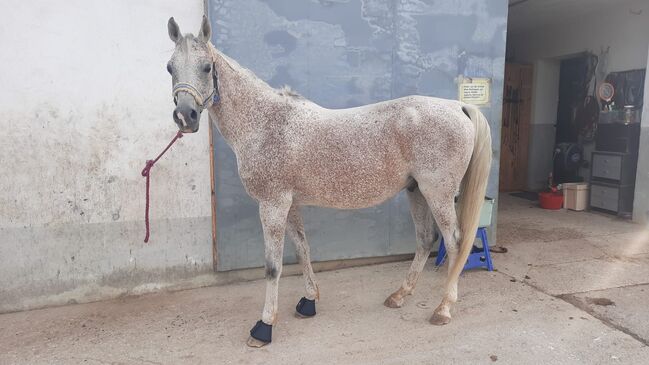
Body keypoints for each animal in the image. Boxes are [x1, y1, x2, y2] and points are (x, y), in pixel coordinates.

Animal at [166, 17, 492, 346]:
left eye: (207, 67)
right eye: (170, 68)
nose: (185, 117)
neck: (265, 123)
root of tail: (457, 106)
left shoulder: (272, 204)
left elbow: (272, 267)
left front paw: (264, 326)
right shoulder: (289, 204)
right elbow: (302, 249)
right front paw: (308, 301)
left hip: (438, 193)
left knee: (454, 243)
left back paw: (443, 308)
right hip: (416, 191)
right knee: (426, 240)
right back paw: (399, 295)